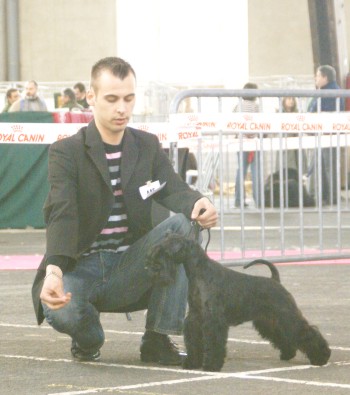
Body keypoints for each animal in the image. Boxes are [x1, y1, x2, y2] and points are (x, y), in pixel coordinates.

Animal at [146, 234, 332, 372]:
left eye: (165, 251)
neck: (200, 272)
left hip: (286, 316)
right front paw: (192, 363)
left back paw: (321, 357)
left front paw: (211, 365)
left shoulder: (214, 321)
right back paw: (288, 354)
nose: (152, 265)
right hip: (269, 320)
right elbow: (193, 342)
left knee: (307, 332)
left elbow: (214, 342)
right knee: (283, 336)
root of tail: (275, 280)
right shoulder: (195, 319)